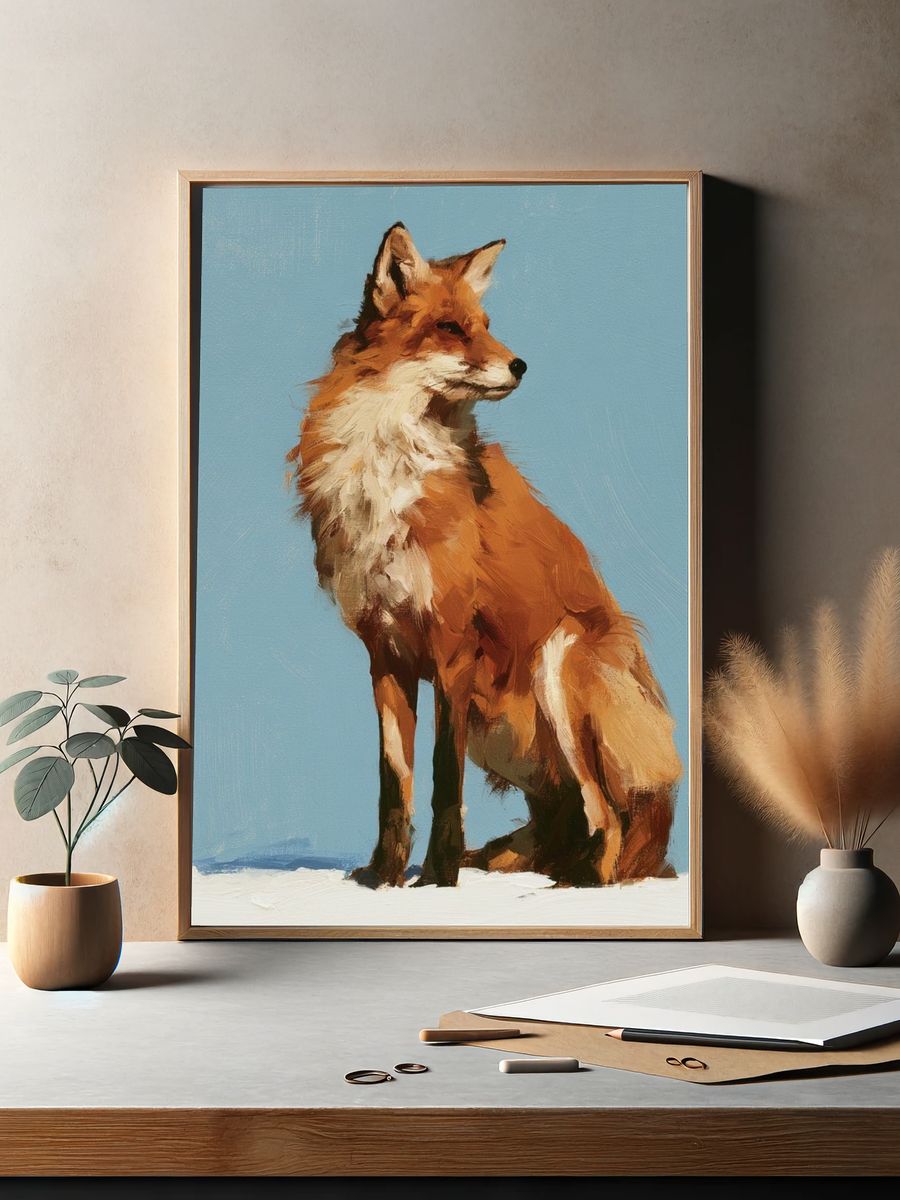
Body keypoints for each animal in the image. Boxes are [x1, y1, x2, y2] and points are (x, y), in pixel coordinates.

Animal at [289, 223, 681, 889]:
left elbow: (443, 779)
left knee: (607, 819)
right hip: (500, 727)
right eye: (451, 327)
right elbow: (394, 782)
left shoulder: (454, 644)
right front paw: (383, 878)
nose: (520, 364)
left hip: (560, 663)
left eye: (487, 323)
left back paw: (578, 880)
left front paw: (439, 878)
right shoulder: (385, 652)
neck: (395, 459)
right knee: (561, 816)